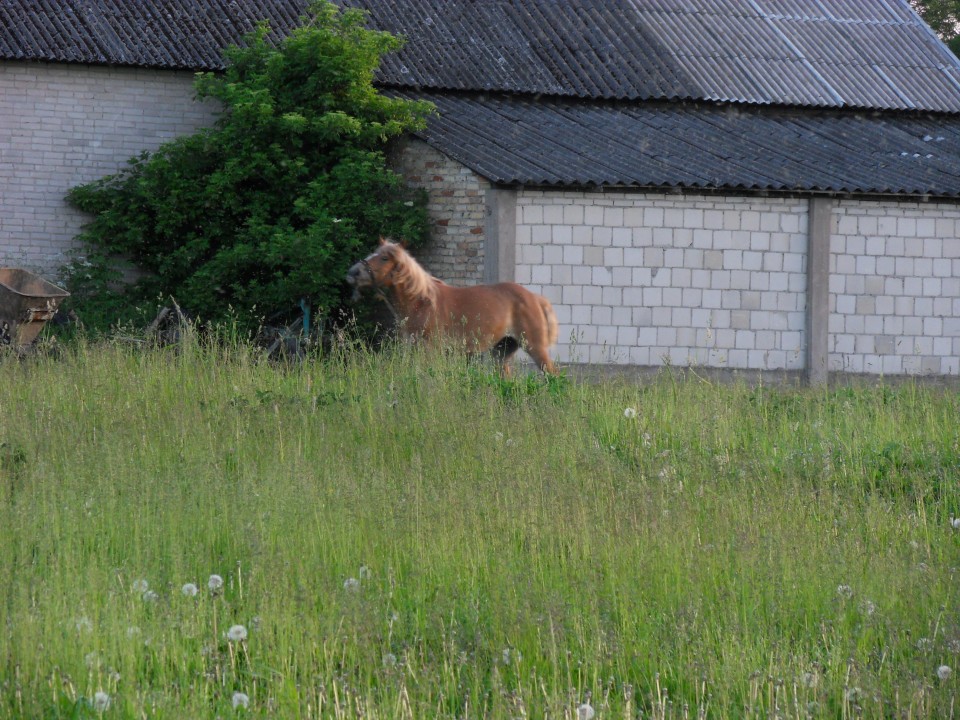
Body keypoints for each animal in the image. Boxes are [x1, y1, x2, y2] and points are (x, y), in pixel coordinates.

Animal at [344, 239, 560, 374]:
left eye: (384, 258)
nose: (353, 272)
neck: (421, 302)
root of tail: (534, 298)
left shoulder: (430, 350)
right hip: (502, 351)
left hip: (535, 347)